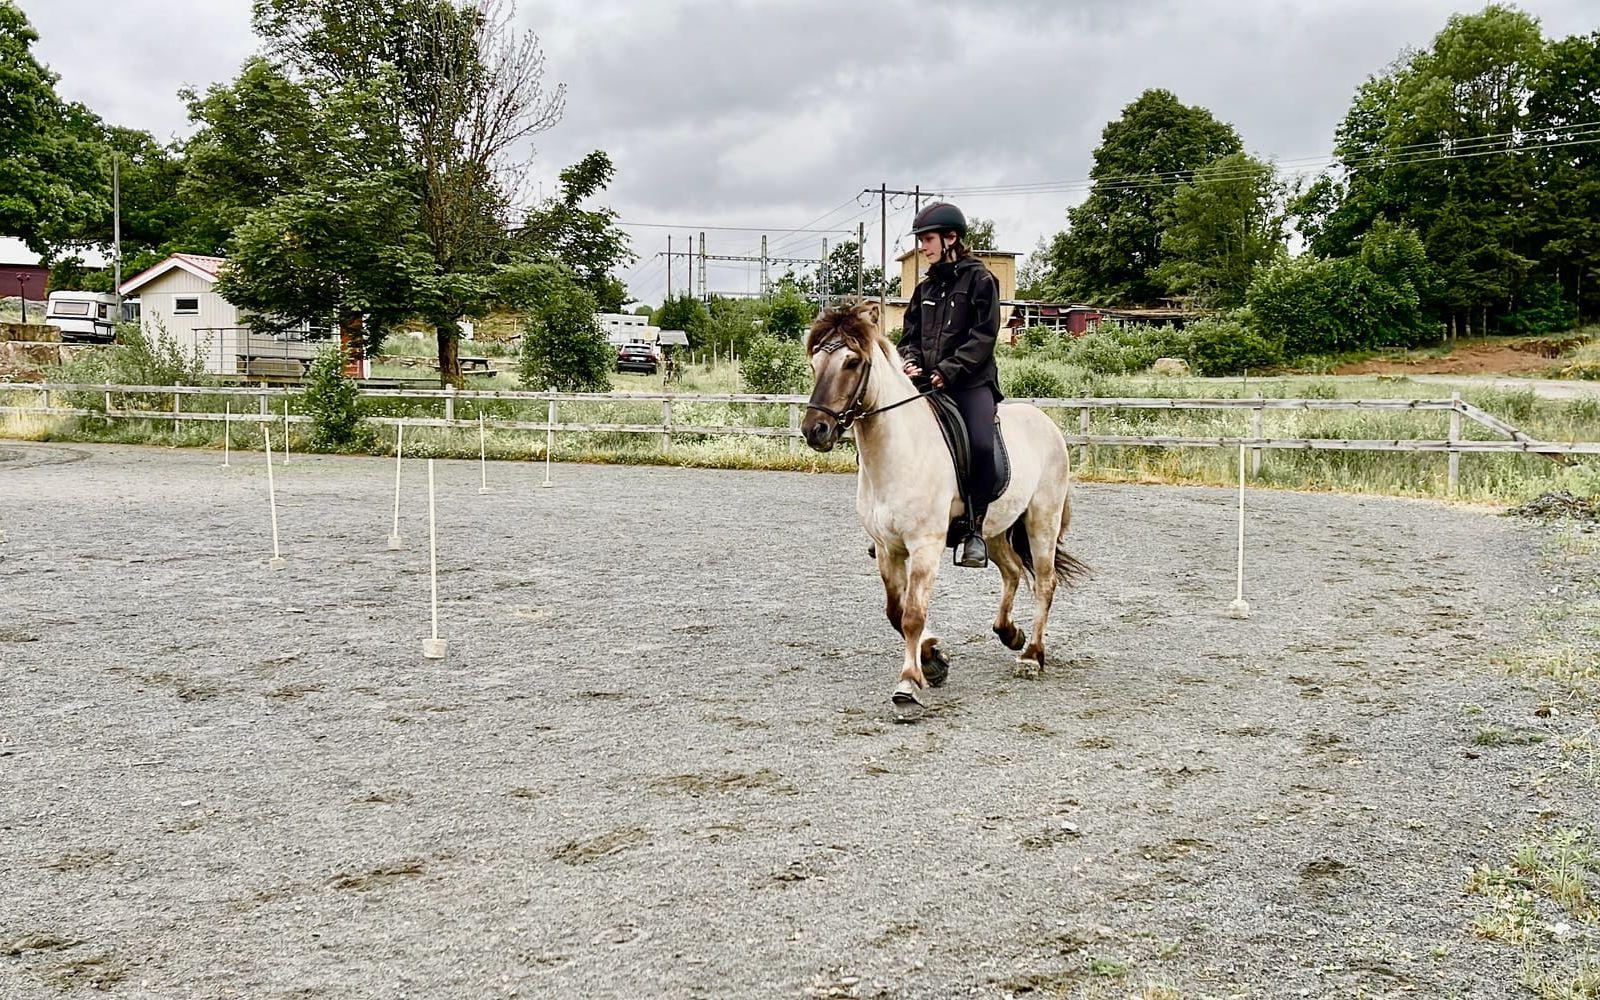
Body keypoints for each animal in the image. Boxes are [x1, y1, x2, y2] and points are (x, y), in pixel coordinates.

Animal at [800, 300, 1088, 713]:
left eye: (852, 362)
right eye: (815, 363)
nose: (815, 430)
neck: (898, 453)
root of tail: (1045, 422)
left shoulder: (925, 547)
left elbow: (912, 616)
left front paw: (909, 683)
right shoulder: (888, 549)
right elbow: (895, 612)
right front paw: (934, 659)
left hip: (1041, 522)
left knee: (1044, 582)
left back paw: (1032, 655)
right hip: (994, 530)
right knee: (1013, 571)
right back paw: (1010, 633)